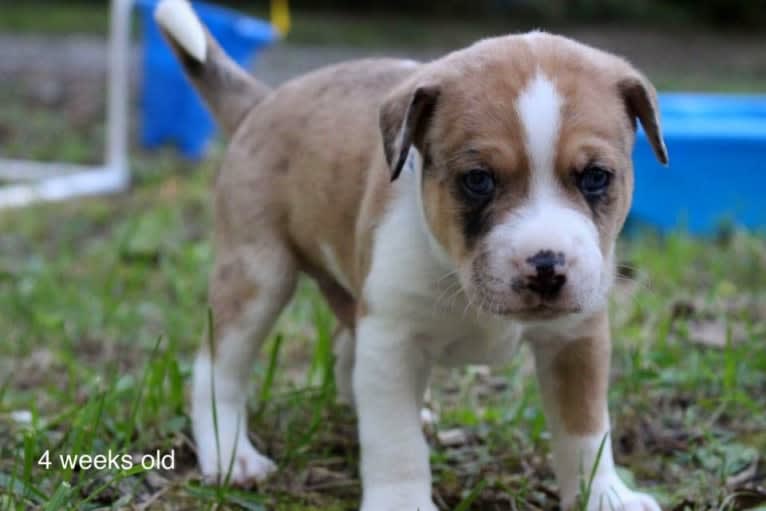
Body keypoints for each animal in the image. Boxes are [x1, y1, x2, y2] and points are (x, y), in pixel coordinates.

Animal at [158, 2, 672, 510]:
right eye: (478, 180)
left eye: (596, 177)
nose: (546, 268)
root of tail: (264, 102)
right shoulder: (393, 341)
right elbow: (396, 440)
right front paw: (403, 502)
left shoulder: (577, 338)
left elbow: (584, 431)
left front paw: (604, 496)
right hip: (256, 276)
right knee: (218, 368)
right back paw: (231, 455)